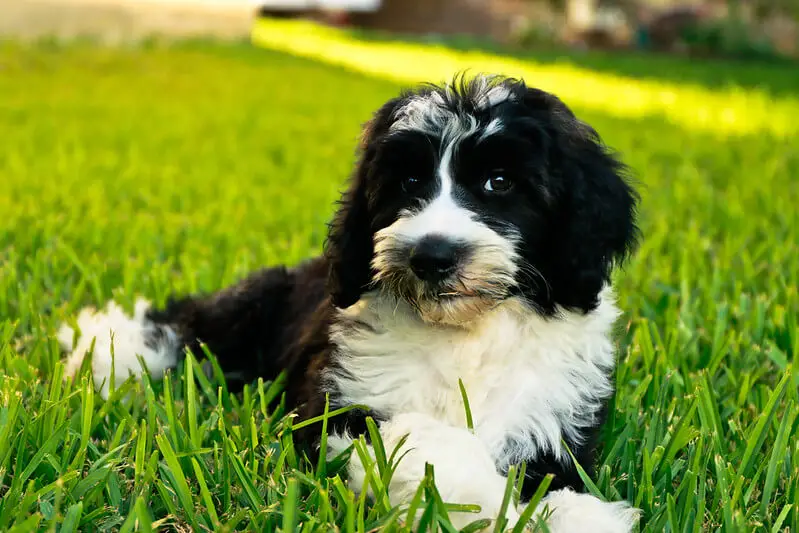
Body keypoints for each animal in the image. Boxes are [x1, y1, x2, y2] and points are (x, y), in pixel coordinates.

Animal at [57, 72, 644, 528]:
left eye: (500, 182)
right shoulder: (339, 407)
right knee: (191, 325)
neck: (465, 332)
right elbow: (423, 442)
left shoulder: (554, 423)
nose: (432, 256)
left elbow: (559, 482)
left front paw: (578, 516)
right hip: (259, 307)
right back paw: (108, 350)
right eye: (408, 182)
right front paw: (480, 502)